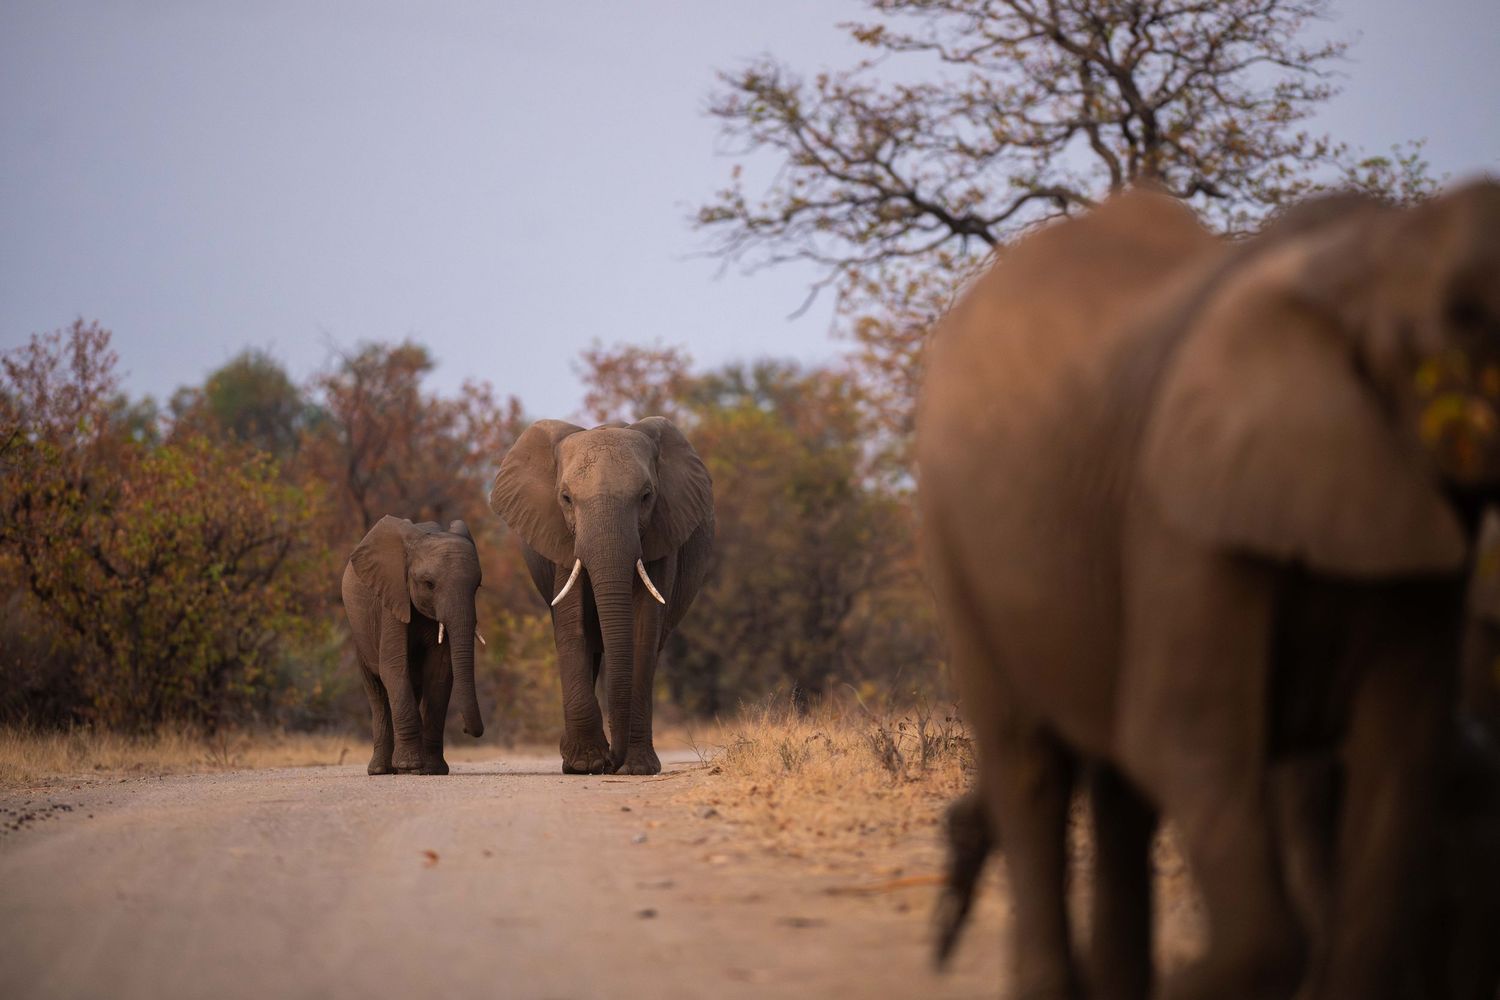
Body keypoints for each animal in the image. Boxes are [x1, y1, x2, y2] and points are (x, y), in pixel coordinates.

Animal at [341, 516, 485, 775]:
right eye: (429, 584)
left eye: (477, 586)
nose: (466, 730)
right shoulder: (392, 598)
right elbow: (393, 667)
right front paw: (409, 765)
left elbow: (440, 673)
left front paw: (432, 770)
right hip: (359, 633)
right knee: (377, 692)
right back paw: (381, 770)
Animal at [489, 417, 713, 775]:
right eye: (566, 498)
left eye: (646, 496)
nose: (612, 763)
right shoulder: (561, 539)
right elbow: (573, 626)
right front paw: (586, 764)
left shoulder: (662, 535)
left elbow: (643, 631)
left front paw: (638, 768)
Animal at [916, 181, 1500, 1000]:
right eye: (1463, 318)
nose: (939, 945)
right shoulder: (1178, 514)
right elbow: (1181, 733)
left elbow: (1398, 756)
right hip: (958, 538)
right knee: (1030, 763)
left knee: (1116, 789)